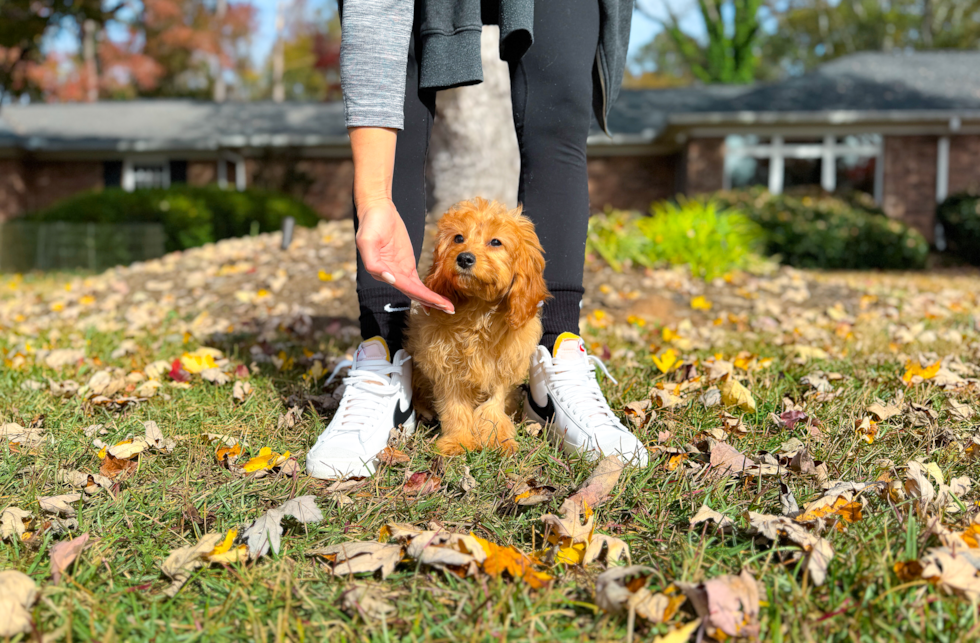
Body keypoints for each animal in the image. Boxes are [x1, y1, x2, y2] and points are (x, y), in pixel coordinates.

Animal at [402, 199, 548, 456]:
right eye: (458, 238)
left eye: (496, 242)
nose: (464, 258)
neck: (478, 311)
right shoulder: (446, 368)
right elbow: (455, 408)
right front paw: (458, 441)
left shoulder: (502, 368)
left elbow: (493, 406)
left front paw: (497, 439)